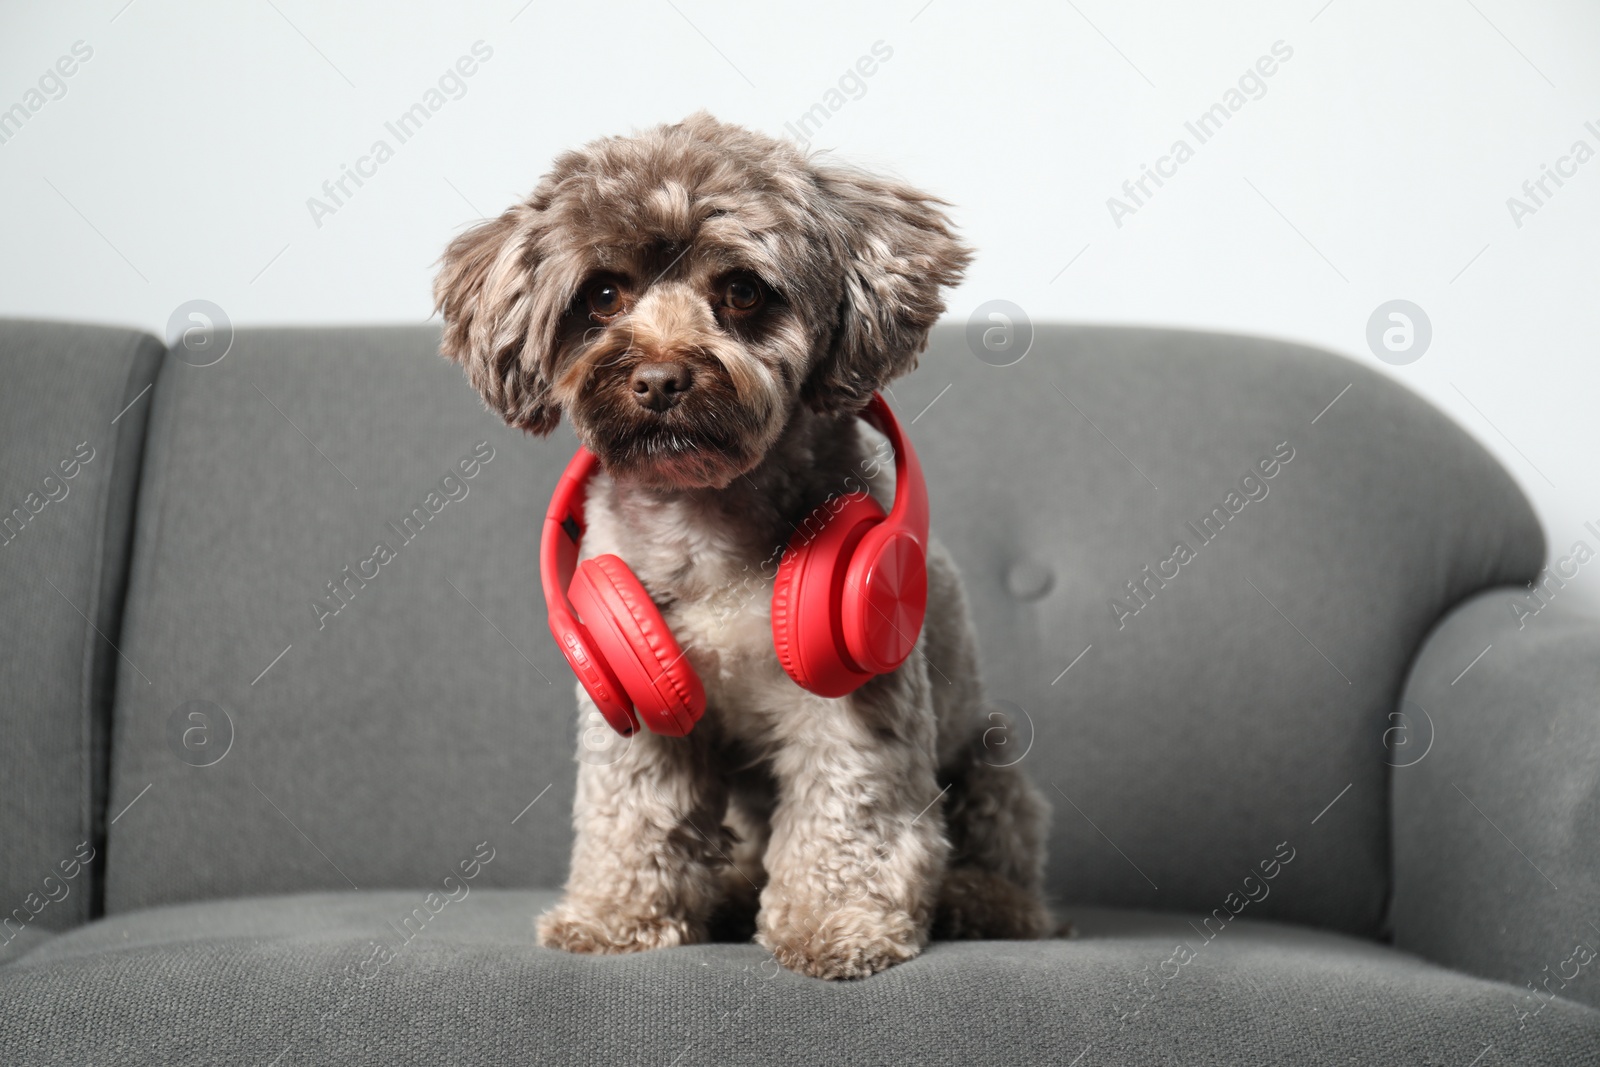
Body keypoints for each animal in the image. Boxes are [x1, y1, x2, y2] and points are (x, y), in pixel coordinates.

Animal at [432, 112, 1056, 979]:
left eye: (742, 290)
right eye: (603, 293)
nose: (660, 379)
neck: (709, 520)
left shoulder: (851, 703)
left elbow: (849, 812)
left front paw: (836, 921)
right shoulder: (637, 706)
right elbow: (634, 814)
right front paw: (614, 915)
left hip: (992, 771)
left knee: (1012, 876)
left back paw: (978, 901)